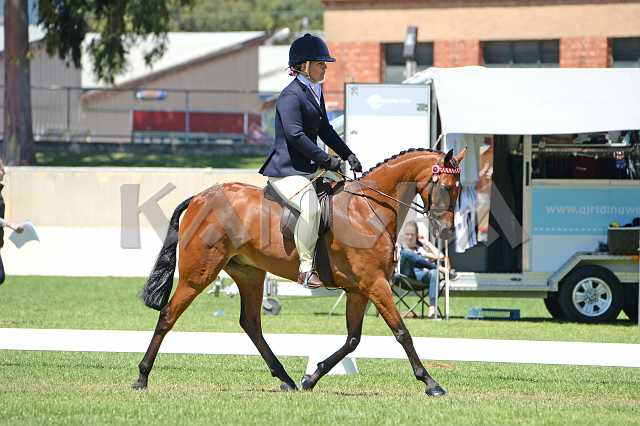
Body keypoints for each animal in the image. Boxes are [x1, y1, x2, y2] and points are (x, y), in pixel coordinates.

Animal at [132, 147, 465, 396]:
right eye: (446, 187)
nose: (447, 232)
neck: (368, 210)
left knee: (251, 323)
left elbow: (352, 340)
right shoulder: (376, 284)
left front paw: (311, 377)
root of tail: (201, 197)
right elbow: (402, 333)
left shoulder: (359, 289)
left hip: (250, 274)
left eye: (459, 189)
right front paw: (431, 383)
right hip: (199, 273)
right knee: (168, 315)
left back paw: (287, 379)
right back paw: (142, 377)